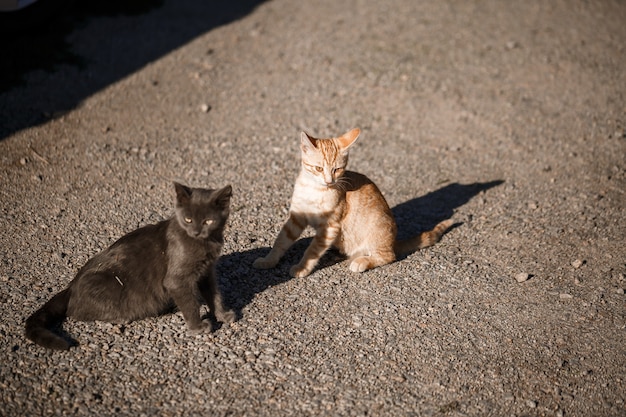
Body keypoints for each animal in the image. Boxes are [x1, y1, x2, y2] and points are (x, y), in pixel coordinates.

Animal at [23, 184, 234, 350]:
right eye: (188, 219)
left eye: (208, 221)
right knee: (76, 311)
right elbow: (189, 303)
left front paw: (223, 315)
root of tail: (70, 286)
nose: (196, 231)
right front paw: (198, 327)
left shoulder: (207, 272)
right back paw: (120, 318)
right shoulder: (177, 280)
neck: (205, 244)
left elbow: (214, 294)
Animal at [251, 127, 450, 276]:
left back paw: (362, 261)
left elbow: (312, 250)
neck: (314, 190)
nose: (329, 181)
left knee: (388, 256)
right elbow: (281, 241)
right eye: (318, 168)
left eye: (337, 169)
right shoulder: (296, 218)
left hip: (377, 229)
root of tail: (393, 241)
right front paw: (268, 260)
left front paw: (302, 268)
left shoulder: (330, 226)